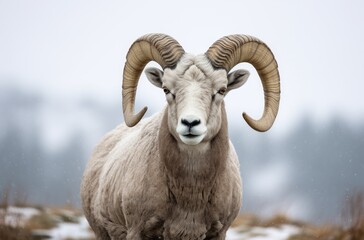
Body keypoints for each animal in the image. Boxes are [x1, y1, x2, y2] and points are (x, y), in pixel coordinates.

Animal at [81, 33, 280, 240]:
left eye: (222, 90)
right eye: (166, 89)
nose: (190, 123)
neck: (190, 197)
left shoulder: (218, 233)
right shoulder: (137, 231)